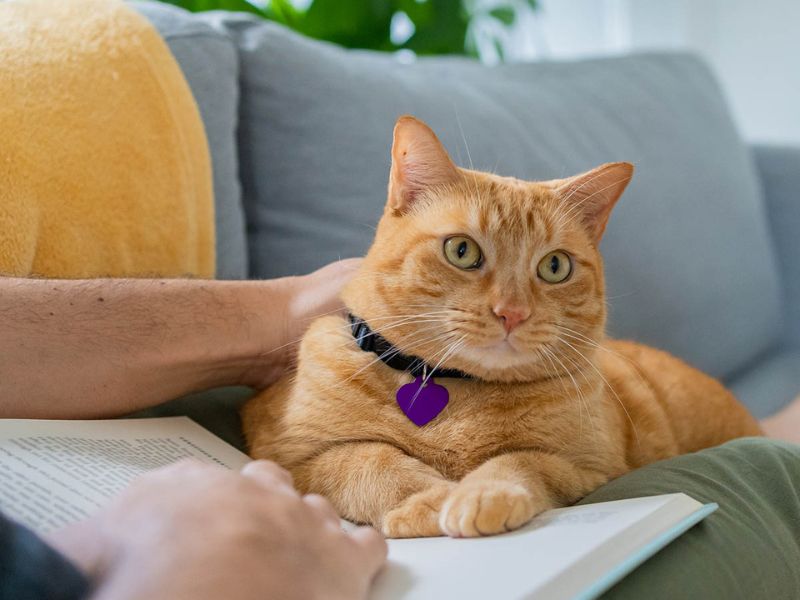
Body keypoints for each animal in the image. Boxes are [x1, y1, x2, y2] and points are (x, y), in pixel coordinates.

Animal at [244, 115, 764, 536]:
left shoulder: (588, 468)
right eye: (461, 251)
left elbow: (519, 460)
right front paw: (428, 500)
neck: (456, 392)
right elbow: (367, 459)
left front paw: (481, 494)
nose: (511, 312)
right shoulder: (289, 456)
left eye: (554, 266)